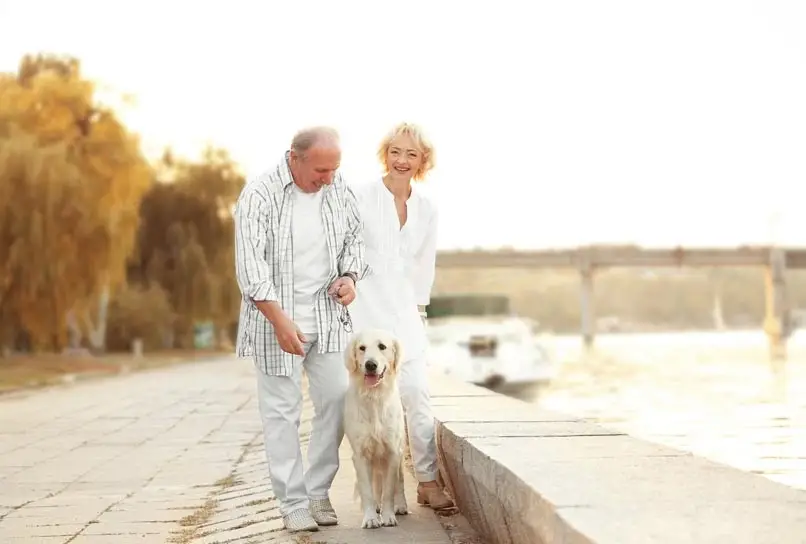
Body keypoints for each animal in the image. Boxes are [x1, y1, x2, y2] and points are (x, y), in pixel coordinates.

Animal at [346, 330, 414, 528]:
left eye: (382, 346)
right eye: (362, 348)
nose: (370, 365)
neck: (374, 396)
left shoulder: (392, 452)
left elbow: (390, 489)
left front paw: (389, 516)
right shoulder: (360, 455)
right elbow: (367, 491)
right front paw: (370, 518)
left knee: (399, 482)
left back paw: (400, 505)